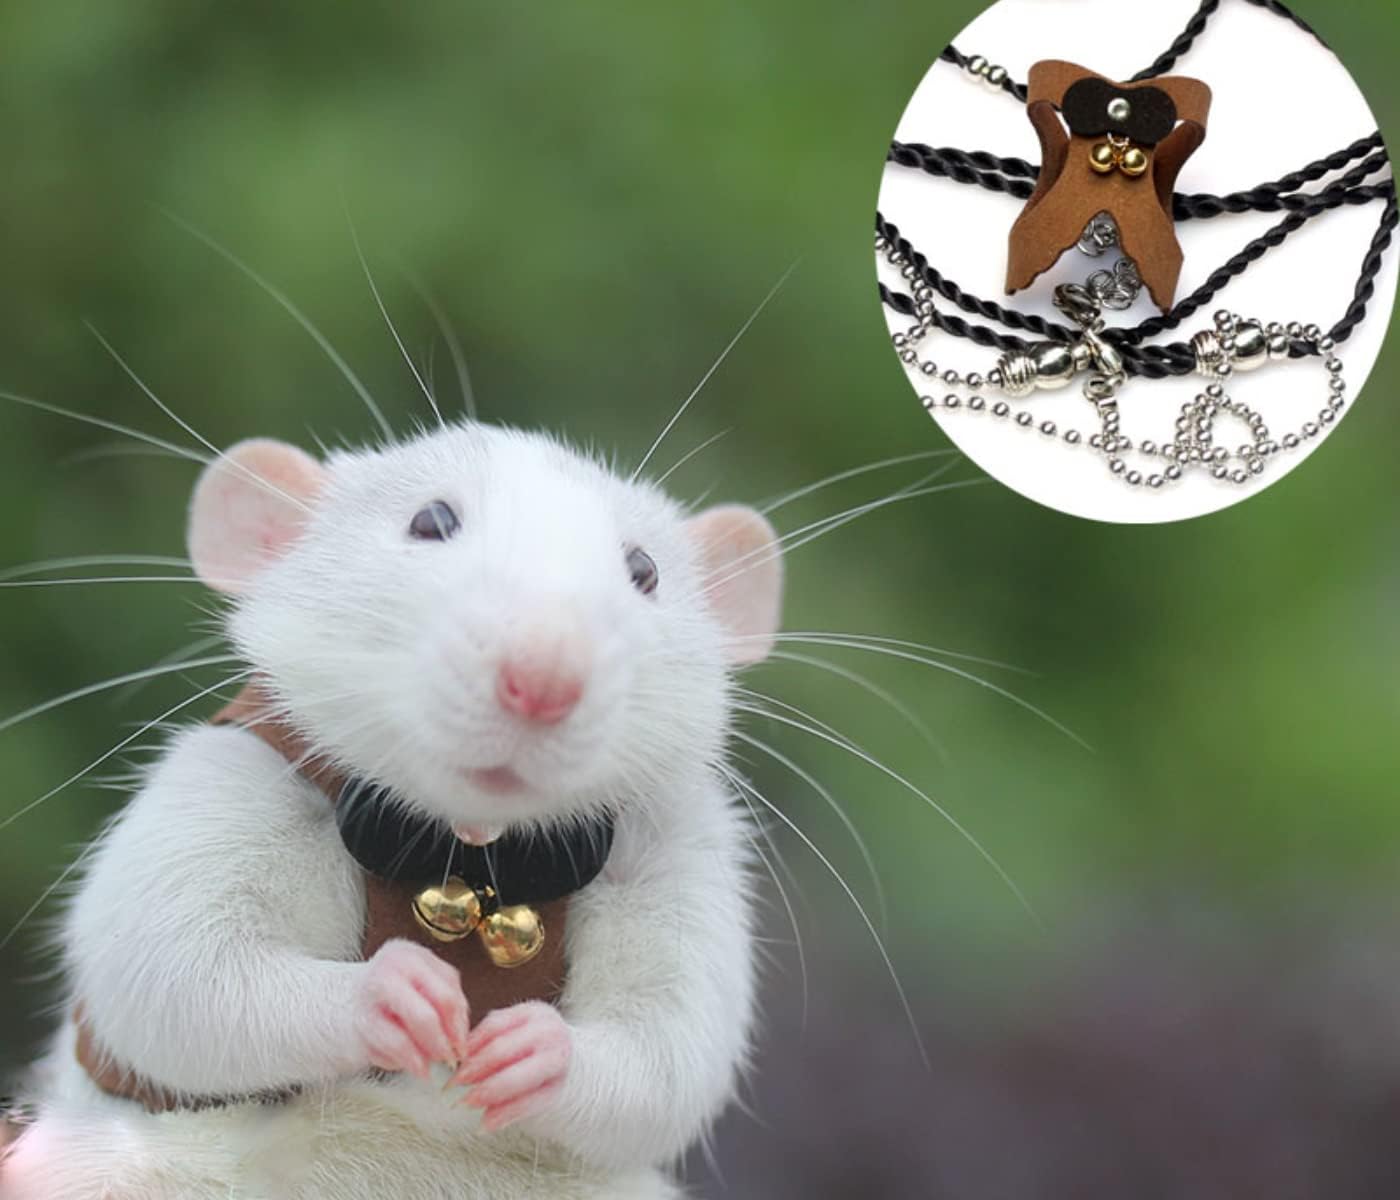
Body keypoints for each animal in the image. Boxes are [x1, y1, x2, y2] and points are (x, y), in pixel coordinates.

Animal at [1, 421, 783, 1200]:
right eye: (430, 522)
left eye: (644, 570)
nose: (545, 676)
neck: (472, 851)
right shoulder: (237, 777)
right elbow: (170, 972)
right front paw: (385, 994)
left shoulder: (677, 849)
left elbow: (671, 1054)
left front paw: (543, 1052)